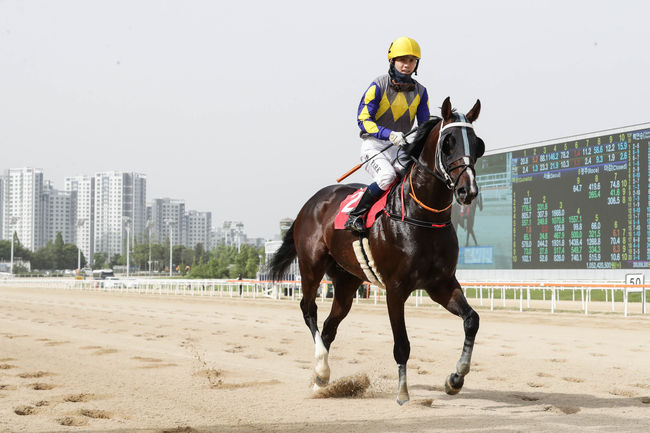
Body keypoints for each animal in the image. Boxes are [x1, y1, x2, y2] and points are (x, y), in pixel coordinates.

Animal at [268, 96, 480, 404]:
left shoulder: (441, 284)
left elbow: (471, 320)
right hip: (311, 266)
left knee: (330, 326)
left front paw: (455, 379)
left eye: (477, 143)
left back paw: (323, 382)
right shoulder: (396, 288)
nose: (468, 190)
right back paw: (320, 368)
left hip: (346, 280)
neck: (422, 216)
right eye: (448, 143)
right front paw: (403, 393)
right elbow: (402, 344)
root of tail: (311, 202)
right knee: (309, 309)